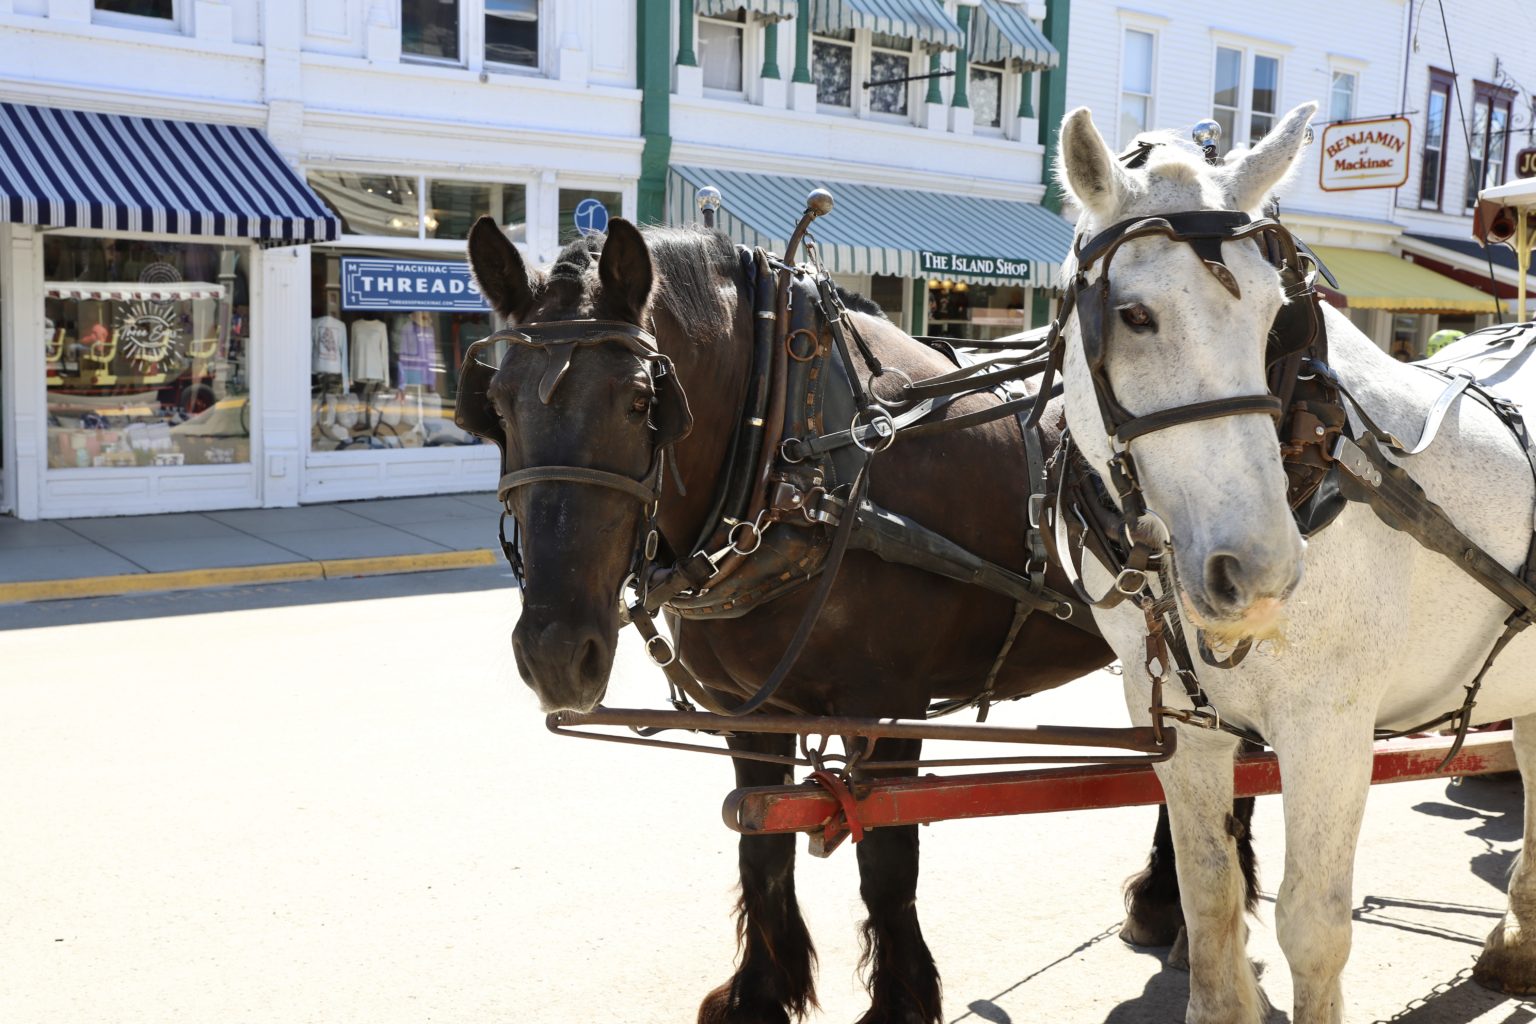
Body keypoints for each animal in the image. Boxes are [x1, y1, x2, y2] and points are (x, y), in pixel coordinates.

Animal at [457, 218, 1247, 1024]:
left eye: (641, 400)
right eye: (497, 405)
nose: (556, 654)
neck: (795, 451)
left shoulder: (887, 707)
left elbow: (888, 862)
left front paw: (898, 1004)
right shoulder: (752, 710)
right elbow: (761, 849)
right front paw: (759, 993)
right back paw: (1171, 902)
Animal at [1056, 98, 1536, 1024]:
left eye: (1274, 316)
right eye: (1133, 316)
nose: (1262, 573)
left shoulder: (1332, 729)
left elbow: (1314, 930)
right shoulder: (1184, 728)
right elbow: (1209, 903)